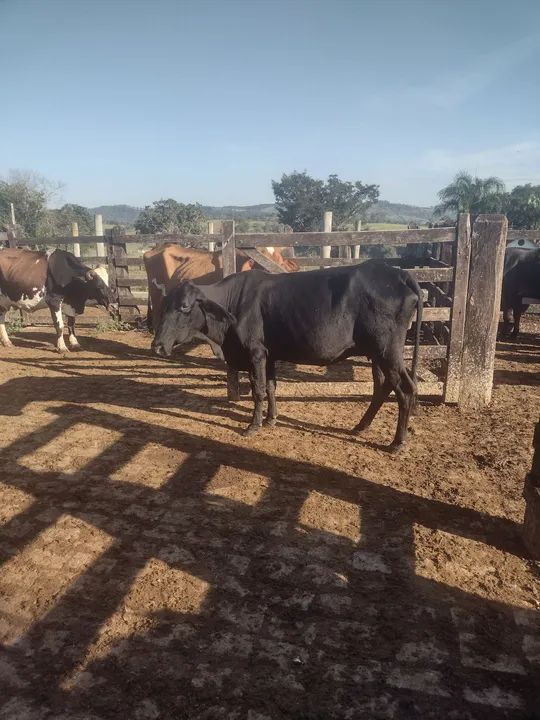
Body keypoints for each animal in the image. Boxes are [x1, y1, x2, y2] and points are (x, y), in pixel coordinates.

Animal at [153, 261, 423, 452]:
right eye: (163, 306)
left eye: (185, 306)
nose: (157, 346)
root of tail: (397, 273)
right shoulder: (270, 354)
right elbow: (272, 387)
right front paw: (271, 419)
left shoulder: (256, 353)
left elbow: (259, 390)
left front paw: (253, 426)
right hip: (376, 353)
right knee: (382, 387)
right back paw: (360, 426)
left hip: (387, 350)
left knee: (405, 388)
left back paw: (397, 443)